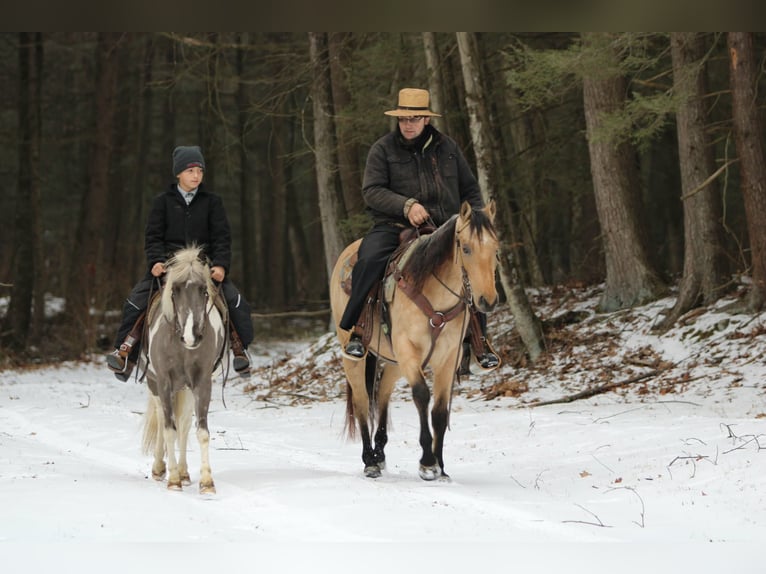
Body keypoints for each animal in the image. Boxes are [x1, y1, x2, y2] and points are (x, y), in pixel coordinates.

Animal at [140, 246, 227, 494]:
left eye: (204, 290)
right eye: (175, 290)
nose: (191, 336)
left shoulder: (202, 383)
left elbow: (201, 432)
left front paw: (206, 483)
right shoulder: (163, 381)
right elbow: (169, 429)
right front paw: (173, 480)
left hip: (186, 389)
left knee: (185, 423)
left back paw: (184, 472)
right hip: (154, 384)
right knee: (163, 418)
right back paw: (160, 468)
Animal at [330, 201, 499, 480]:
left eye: (495, 249)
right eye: (466, 248)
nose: (488, 300)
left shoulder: (448, 359)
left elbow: (440, 411)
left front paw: (441, 467)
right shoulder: (409, 351)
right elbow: (421, 394)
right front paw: (428, 463)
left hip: (394, 361)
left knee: (382, 392)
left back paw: (380, 453)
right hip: (355, 357)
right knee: (363, 401)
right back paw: (370, 461)